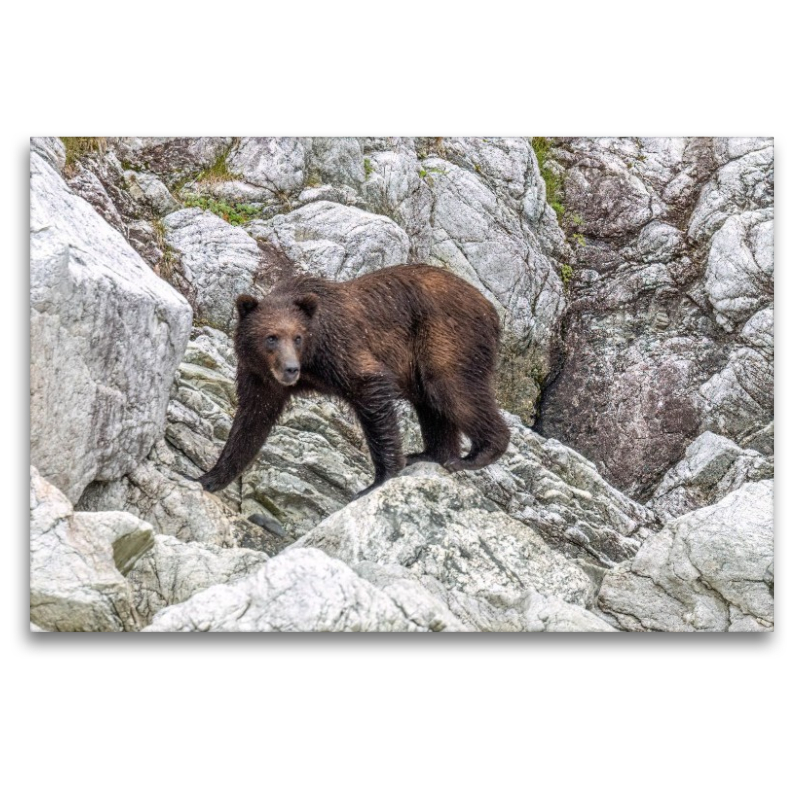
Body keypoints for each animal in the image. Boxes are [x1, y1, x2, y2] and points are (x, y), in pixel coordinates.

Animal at [198, 264, 511, 498]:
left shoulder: (339, 349)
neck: (311, 360)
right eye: (271, 337)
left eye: (298, 337)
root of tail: (490, 308)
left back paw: (475, 455)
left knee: (452, 389)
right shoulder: (260, 376)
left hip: (447, 337)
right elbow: (252, 419)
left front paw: (380, 478)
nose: (290, 370)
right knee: (430, 403)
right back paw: (430, 454)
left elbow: (371, 387)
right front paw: (210, 477)